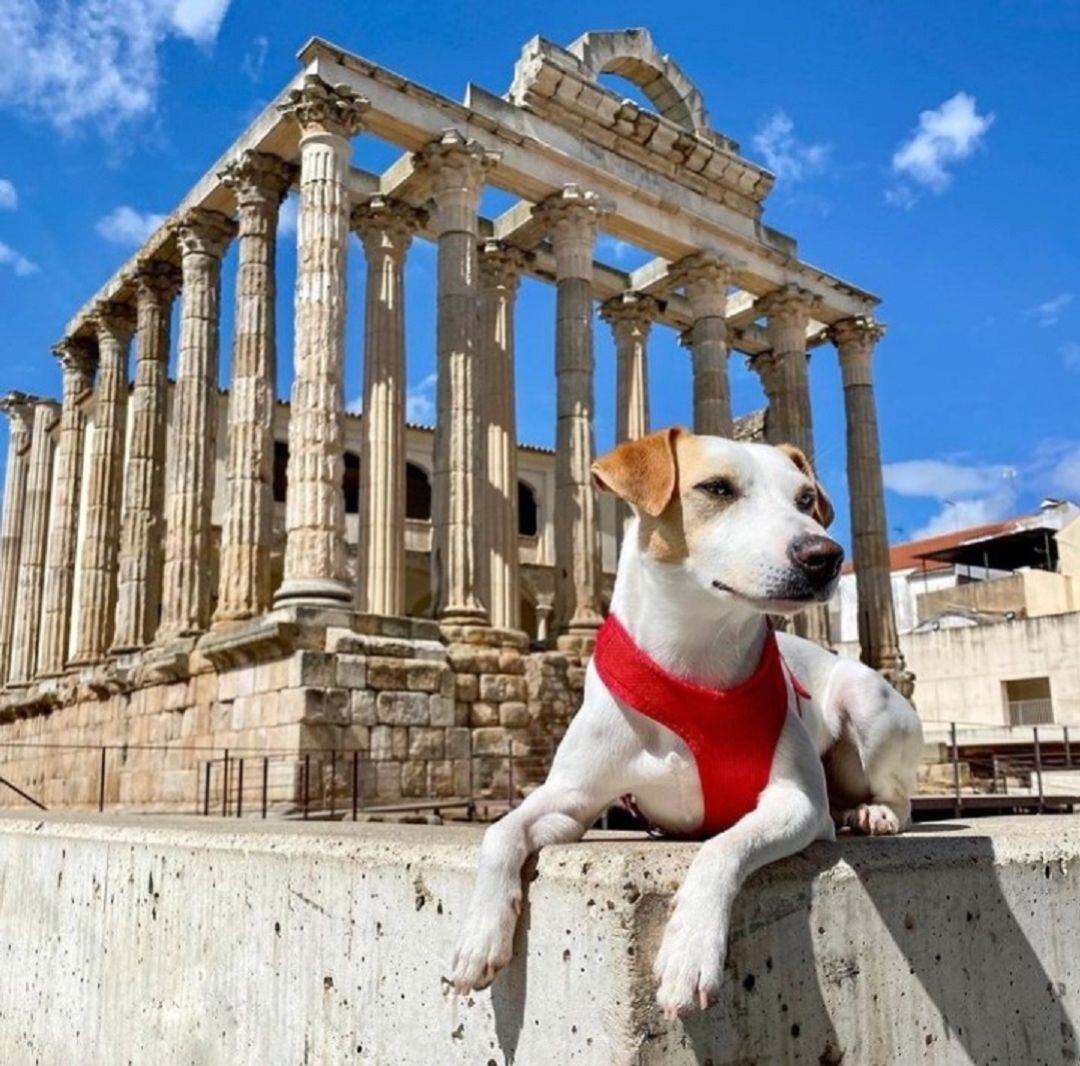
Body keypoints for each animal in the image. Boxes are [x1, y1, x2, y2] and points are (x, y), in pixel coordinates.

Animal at [451, 425, 924, 1015]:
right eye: (717, 488)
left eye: (805, 500)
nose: (825, 555)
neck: (692, 668)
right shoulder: (571, 799)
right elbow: (500, 832)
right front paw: (480, 934)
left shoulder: (795, 802)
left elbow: (723, 847)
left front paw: (690, 949)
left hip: (867, 706)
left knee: (899, 796)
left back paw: (875, 814)